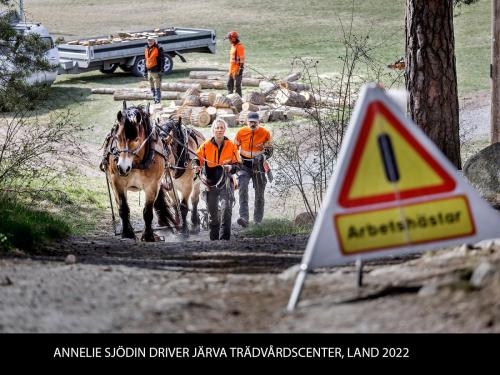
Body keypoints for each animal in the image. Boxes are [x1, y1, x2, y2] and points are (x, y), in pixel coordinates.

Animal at [101, 102, 178, 241]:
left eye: (136, 139)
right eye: (117, 137)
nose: (123, 167)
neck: (136, 163)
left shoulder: (152, 185)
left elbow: (148, 212)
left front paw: (148, 236)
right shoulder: (117, 182)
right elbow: (123, 208)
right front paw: (127, 233)